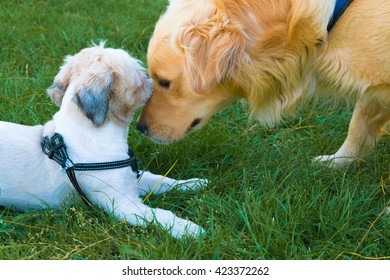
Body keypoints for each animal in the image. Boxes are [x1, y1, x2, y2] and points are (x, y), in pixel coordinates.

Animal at [0, 43, 207, 238]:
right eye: (141, 79)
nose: (155, 84)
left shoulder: (131, 178)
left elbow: (161, 180)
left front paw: (193, 183)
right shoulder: (123, 204)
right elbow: (160, 215)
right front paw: (188, 229)